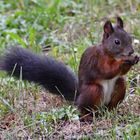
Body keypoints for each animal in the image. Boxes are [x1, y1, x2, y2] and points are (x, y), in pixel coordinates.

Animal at [0, 16, 139, 116]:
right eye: (117, 42)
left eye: (130, 38)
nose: (131, 51)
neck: (111, 54)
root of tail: (78, 98)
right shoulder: (97, 60)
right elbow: (106, 71)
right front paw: (125, 60)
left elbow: (120, 73)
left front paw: (135, 58)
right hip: (92, 91)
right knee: (86, 109)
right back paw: (88, 117)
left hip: (119, 87)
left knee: (119, 85)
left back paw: (112, 112)